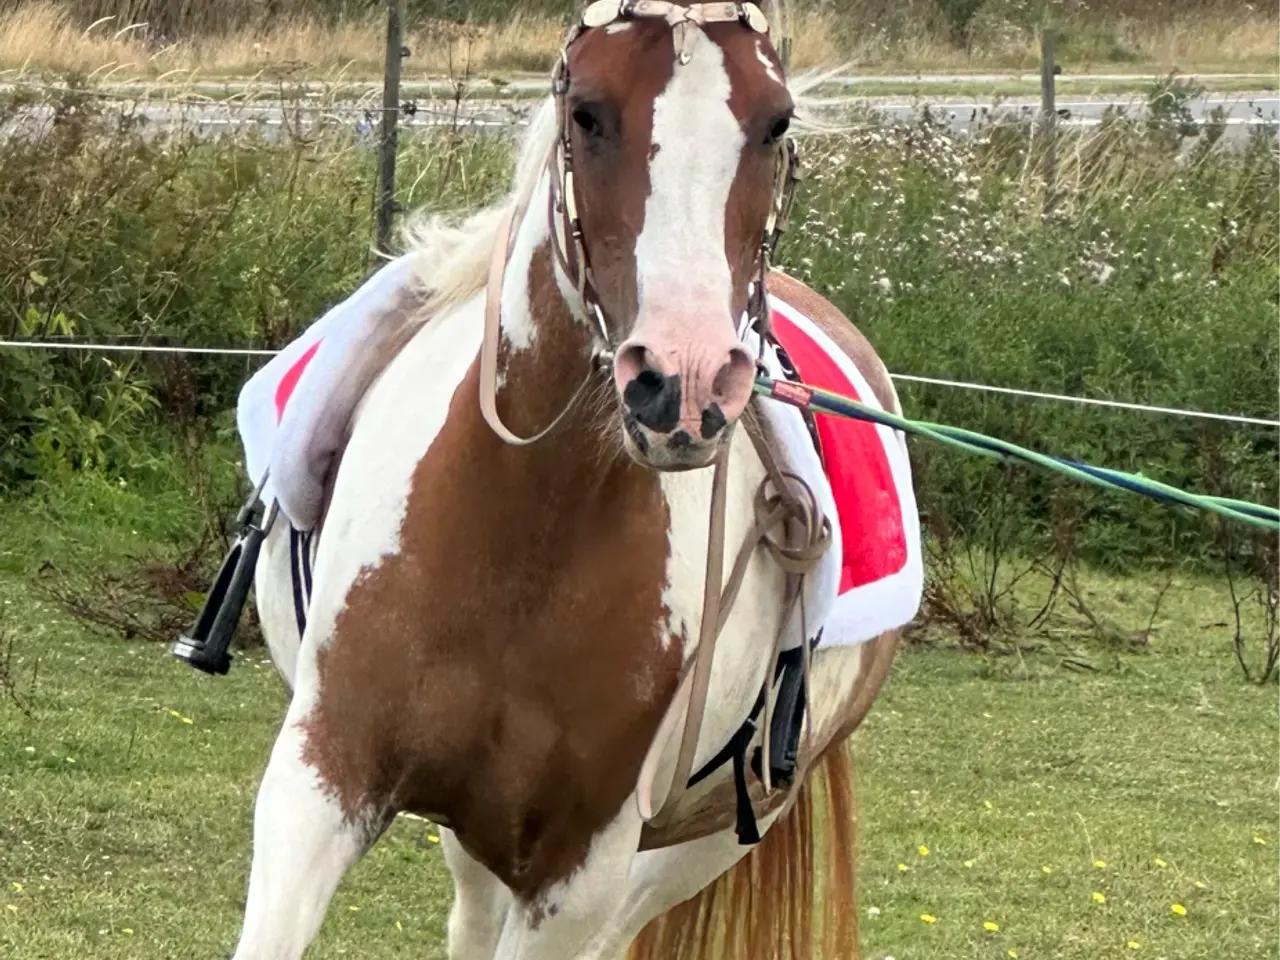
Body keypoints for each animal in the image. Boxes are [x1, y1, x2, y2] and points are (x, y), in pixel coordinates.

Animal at [232, 3, 910, 958]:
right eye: (588, 112)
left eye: (776, 122)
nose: (683, 386)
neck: (522, 535)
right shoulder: (320, 784)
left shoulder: (577, 873)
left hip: (687, 850)